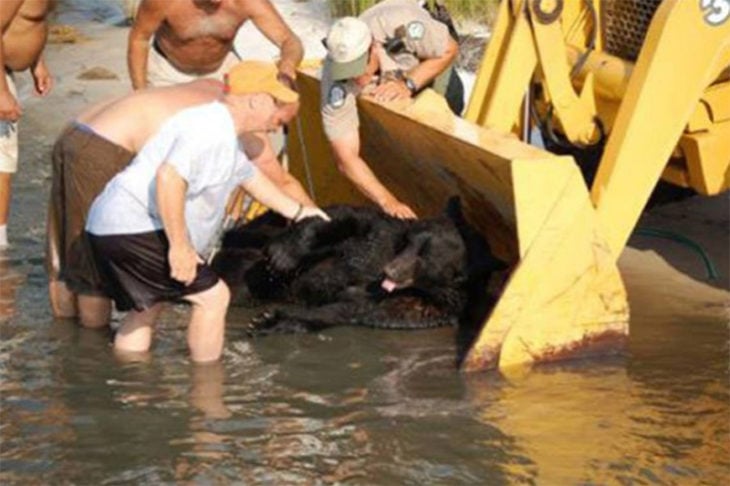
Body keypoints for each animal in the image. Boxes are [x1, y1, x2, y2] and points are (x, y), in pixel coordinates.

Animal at [210, 199, 506, 336]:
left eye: (426, 257)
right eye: (411, 243)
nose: (390, 270)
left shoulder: (418, 305)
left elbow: (348, 309)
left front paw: (269, 320)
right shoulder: (382, 235)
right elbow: (344, 219)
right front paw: (284, 254)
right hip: (257, 235)